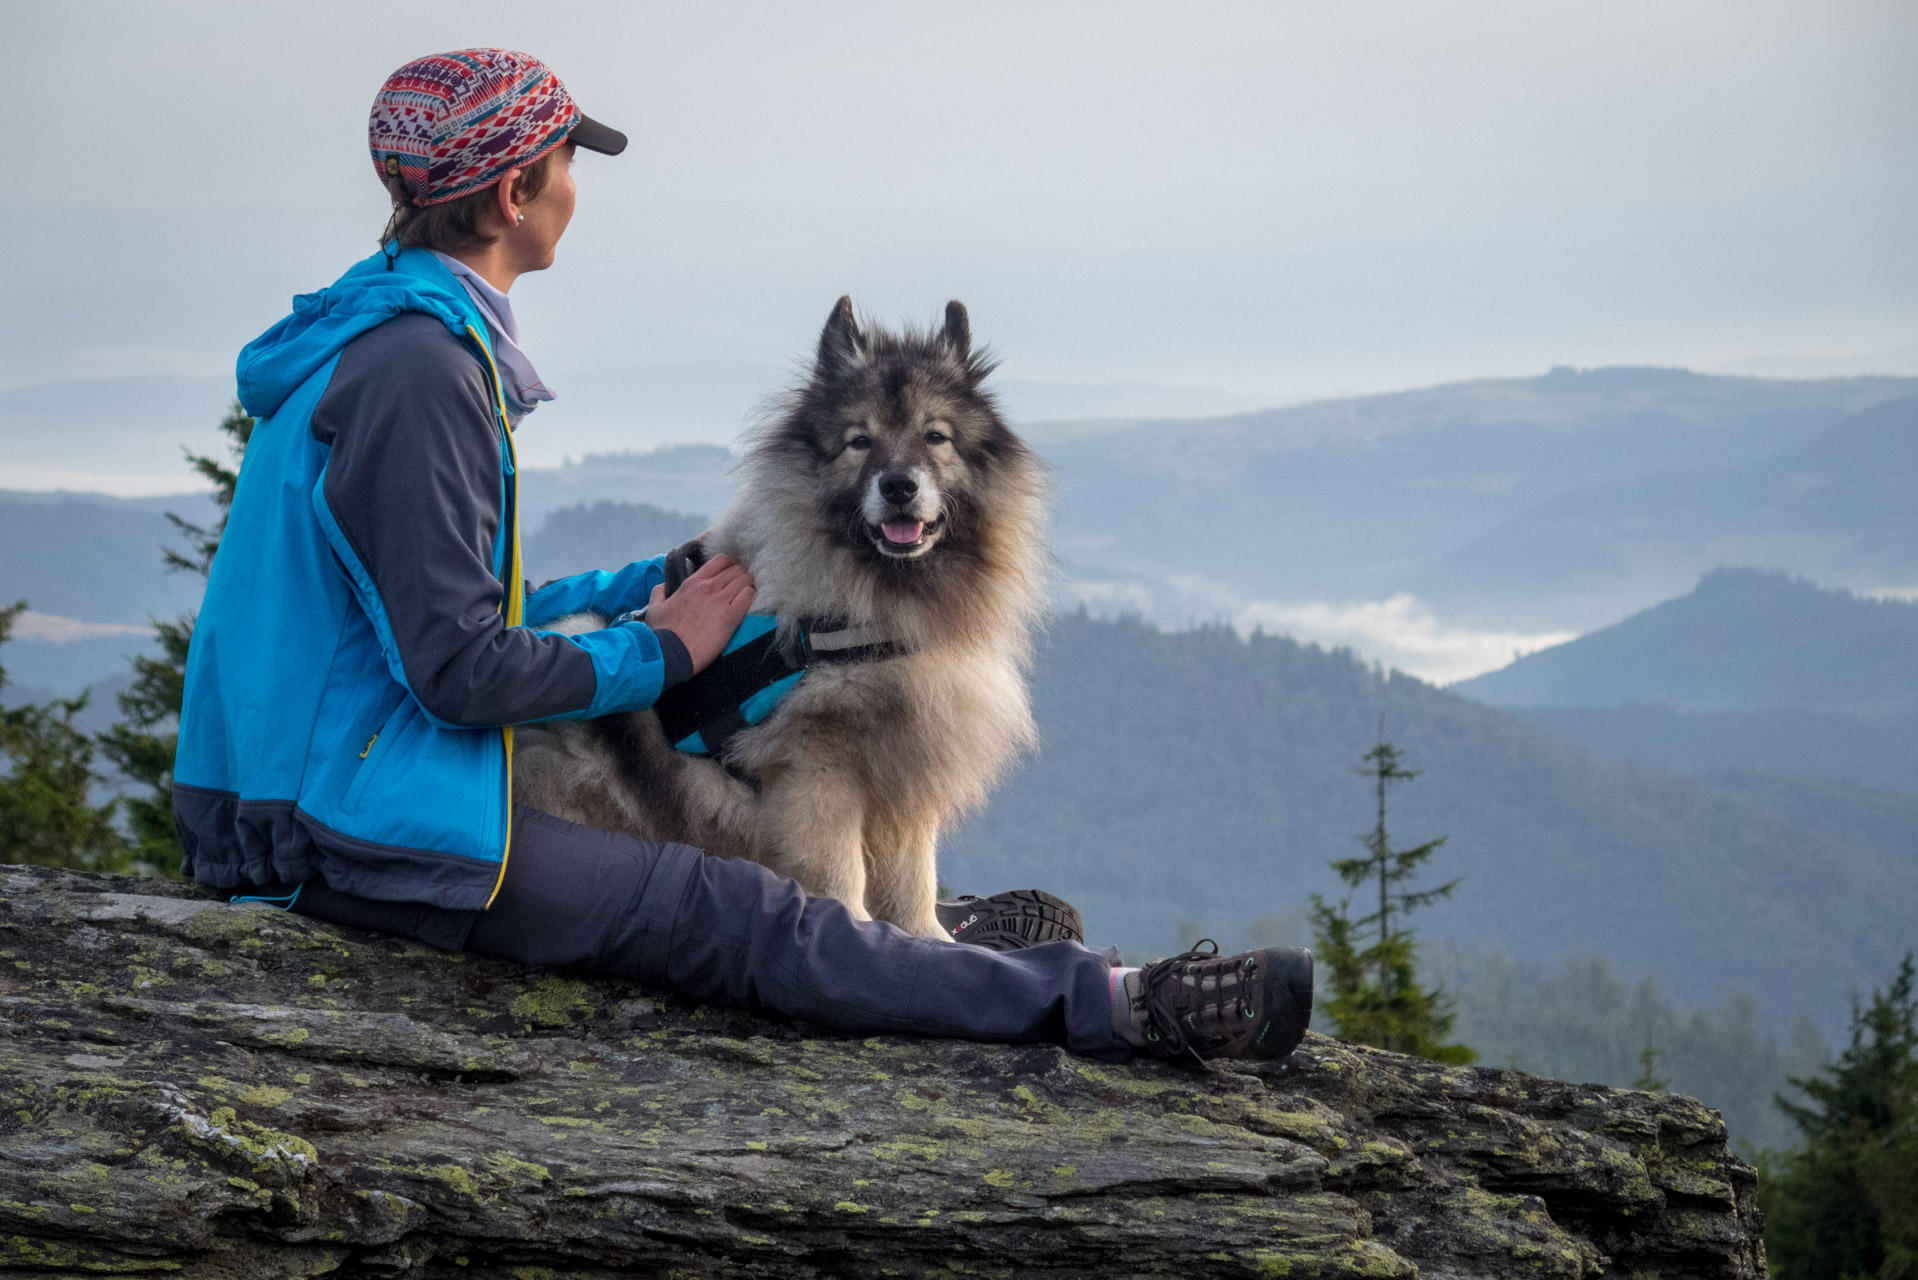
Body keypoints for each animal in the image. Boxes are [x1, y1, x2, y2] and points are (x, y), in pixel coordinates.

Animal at [510, 301, 1043, 940]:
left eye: (935, 436)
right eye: (859, 442)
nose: (899, 486)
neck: (874, 607)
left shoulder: (905, 765)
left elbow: (911, 875)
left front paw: (925, 937)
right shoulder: (815, 770)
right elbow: (842, 876)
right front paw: (856, 930)